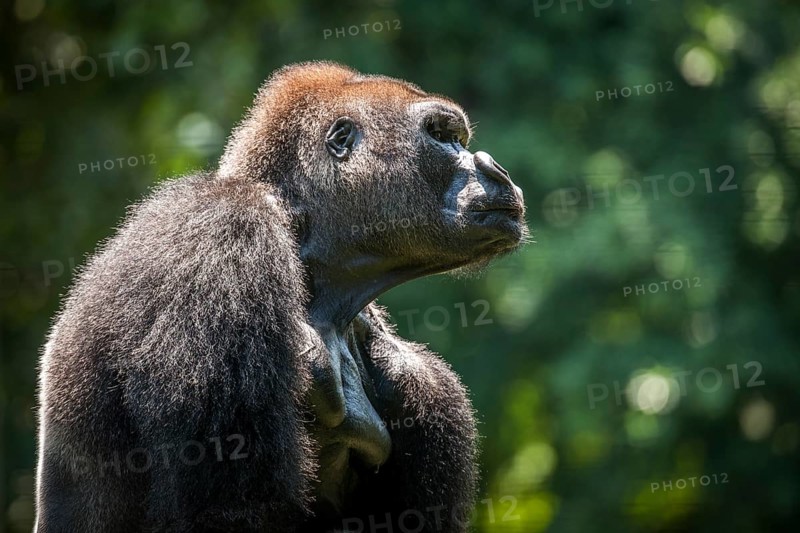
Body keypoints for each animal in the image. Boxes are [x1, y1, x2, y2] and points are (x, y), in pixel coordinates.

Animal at [34, 61, 527, 533]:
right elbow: (228, 511)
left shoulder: (398, 356)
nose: (496, 170)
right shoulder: (226, 234)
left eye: (458, 138)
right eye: (441, 137)